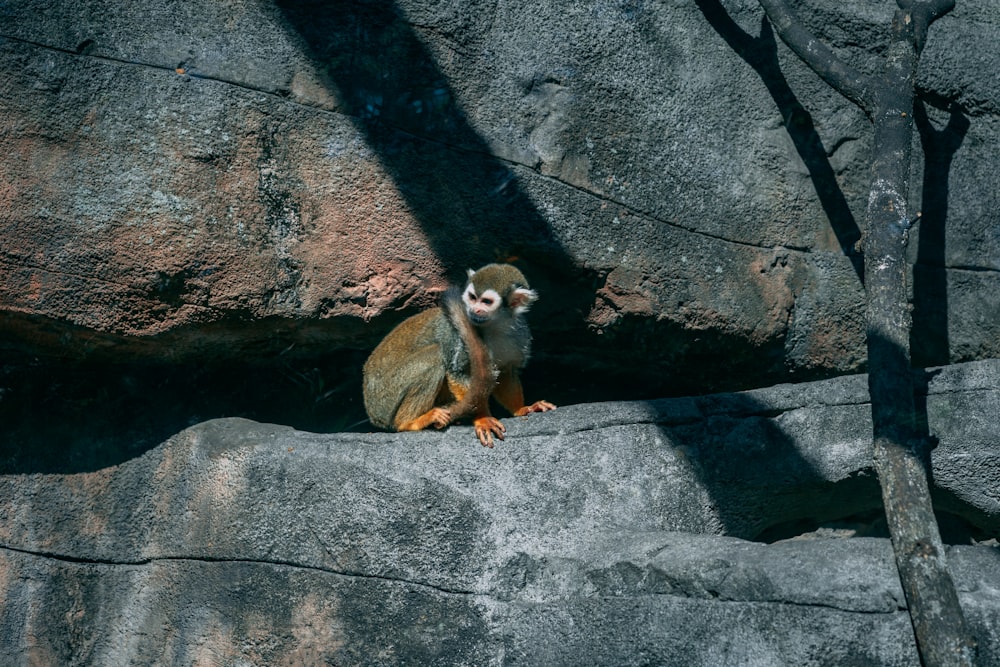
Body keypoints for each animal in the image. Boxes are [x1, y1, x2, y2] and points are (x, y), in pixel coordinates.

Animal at [366, 264, 560, 446]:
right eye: (473, 298)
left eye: (486, 302)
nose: (474, 310)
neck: (495, 327)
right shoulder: (457, 334)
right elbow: (458, 373)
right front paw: (482, 419)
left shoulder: (520, 334)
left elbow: (506, 373)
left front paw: (521, 409)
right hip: (386, 395)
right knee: (434, 356)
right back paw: (408, 423)